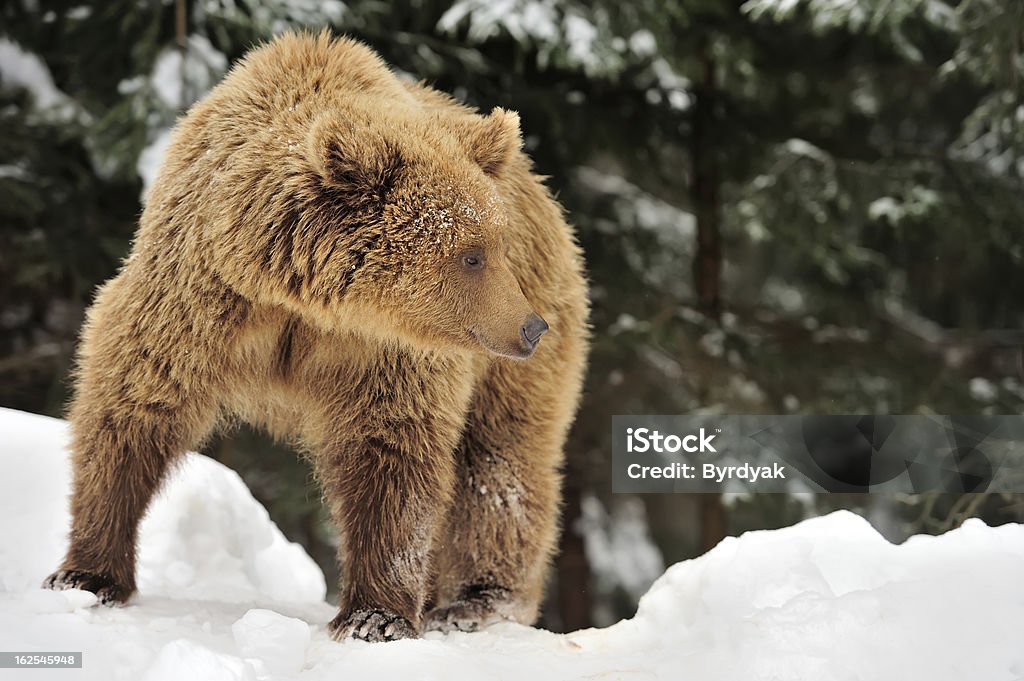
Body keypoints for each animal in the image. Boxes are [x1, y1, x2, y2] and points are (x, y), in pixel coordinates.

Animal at [44, 29, 589, 639]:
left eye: (496, 246)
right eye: (472, 255)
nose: (530, 327)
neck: (301, 299)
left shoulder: (383, 353)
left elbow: (391, 450)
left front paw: (376, 616)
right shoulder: (198, 304)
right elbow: (132, 409)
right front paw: (85, 574)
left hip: (516, 359)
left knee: (498, 466)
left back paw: (477, 602)